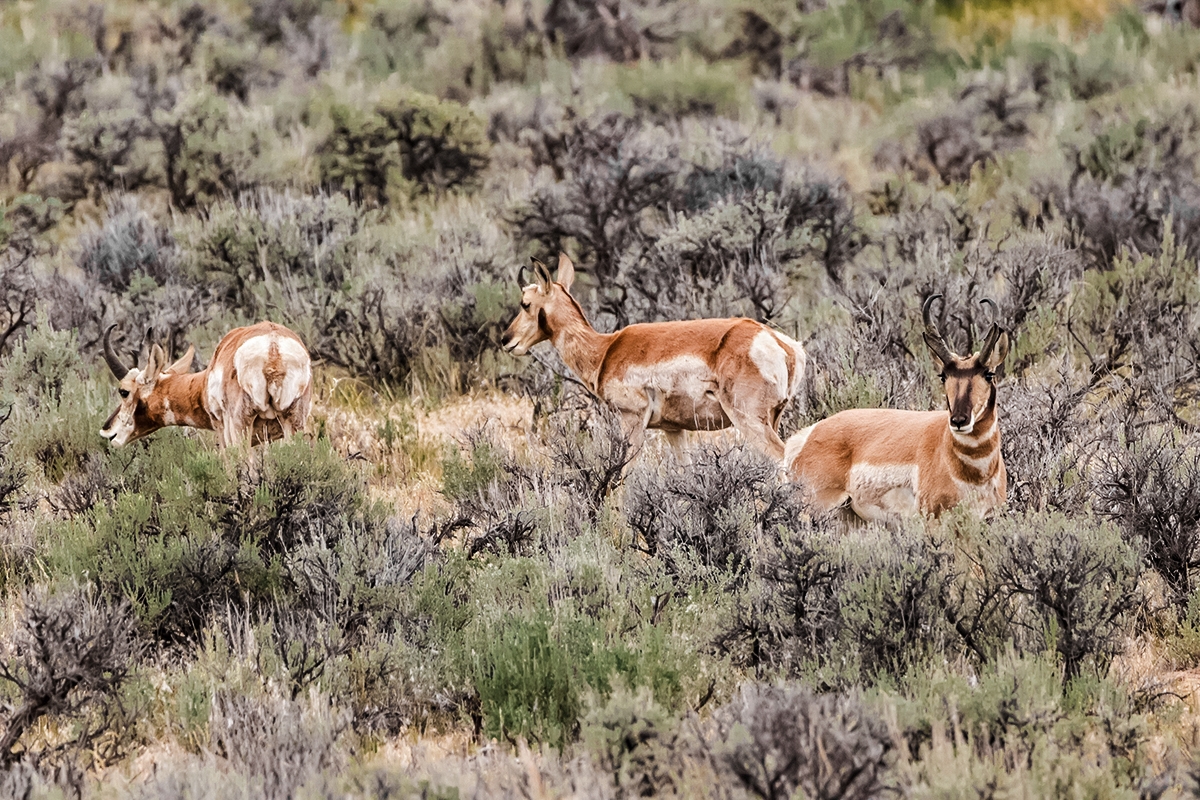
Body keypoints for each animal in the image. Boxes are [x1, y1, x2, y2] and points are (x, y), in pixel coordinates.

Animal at [499, 253, 806, 460]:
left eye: (525, 304)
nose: (506, 340)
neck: (606, 348)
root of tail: (779, 342)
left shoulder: (632, 423)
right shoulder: (675, 431)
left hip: (749, 421)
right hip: (771, 419)